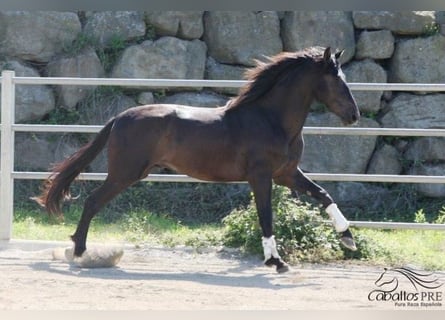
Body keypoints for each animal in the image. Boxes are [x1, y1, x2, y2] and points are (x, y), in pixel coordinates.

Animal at [34, 47, 360, 272]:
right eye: (337, 81)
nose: (354, 116)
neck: (271, 119)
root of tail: (120, 117)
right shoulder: (261, 177)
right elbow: (266, 216)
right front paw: (276, 262)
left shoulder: (287, 174)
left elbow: (323, 194)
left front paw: (348, 238)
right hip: (125, 173)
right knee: (92, 202)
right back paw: (79, 251)